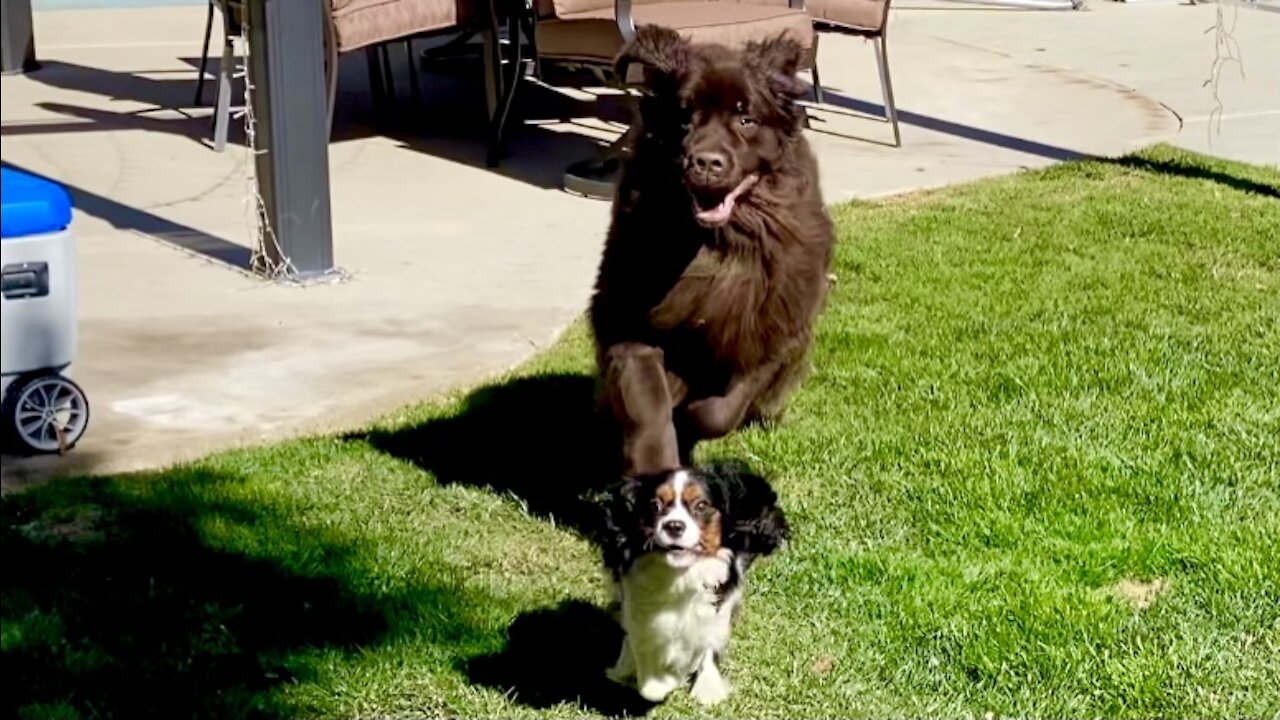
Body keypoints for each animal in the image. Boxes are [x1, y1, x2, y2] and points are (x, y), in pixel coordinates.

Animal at [586, 26, 829, 476]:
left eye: (746, 119)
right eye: (684, 118)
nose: (706, 162)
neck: (717, 244)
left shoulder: (772, 325)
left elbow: (719, 409)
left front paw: (696, 415)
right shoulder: (627, 318)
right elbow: (648, 402)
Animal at [599, 461, 788, 702]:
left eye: (701, 505)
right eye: (654, 505)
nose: (673, 525)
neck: (679, 574)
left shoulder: (719, 602)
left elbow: (706, 640)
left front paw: (705, 688)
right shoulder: (636, 602)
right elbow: (644, 652)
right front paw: (657, 679)